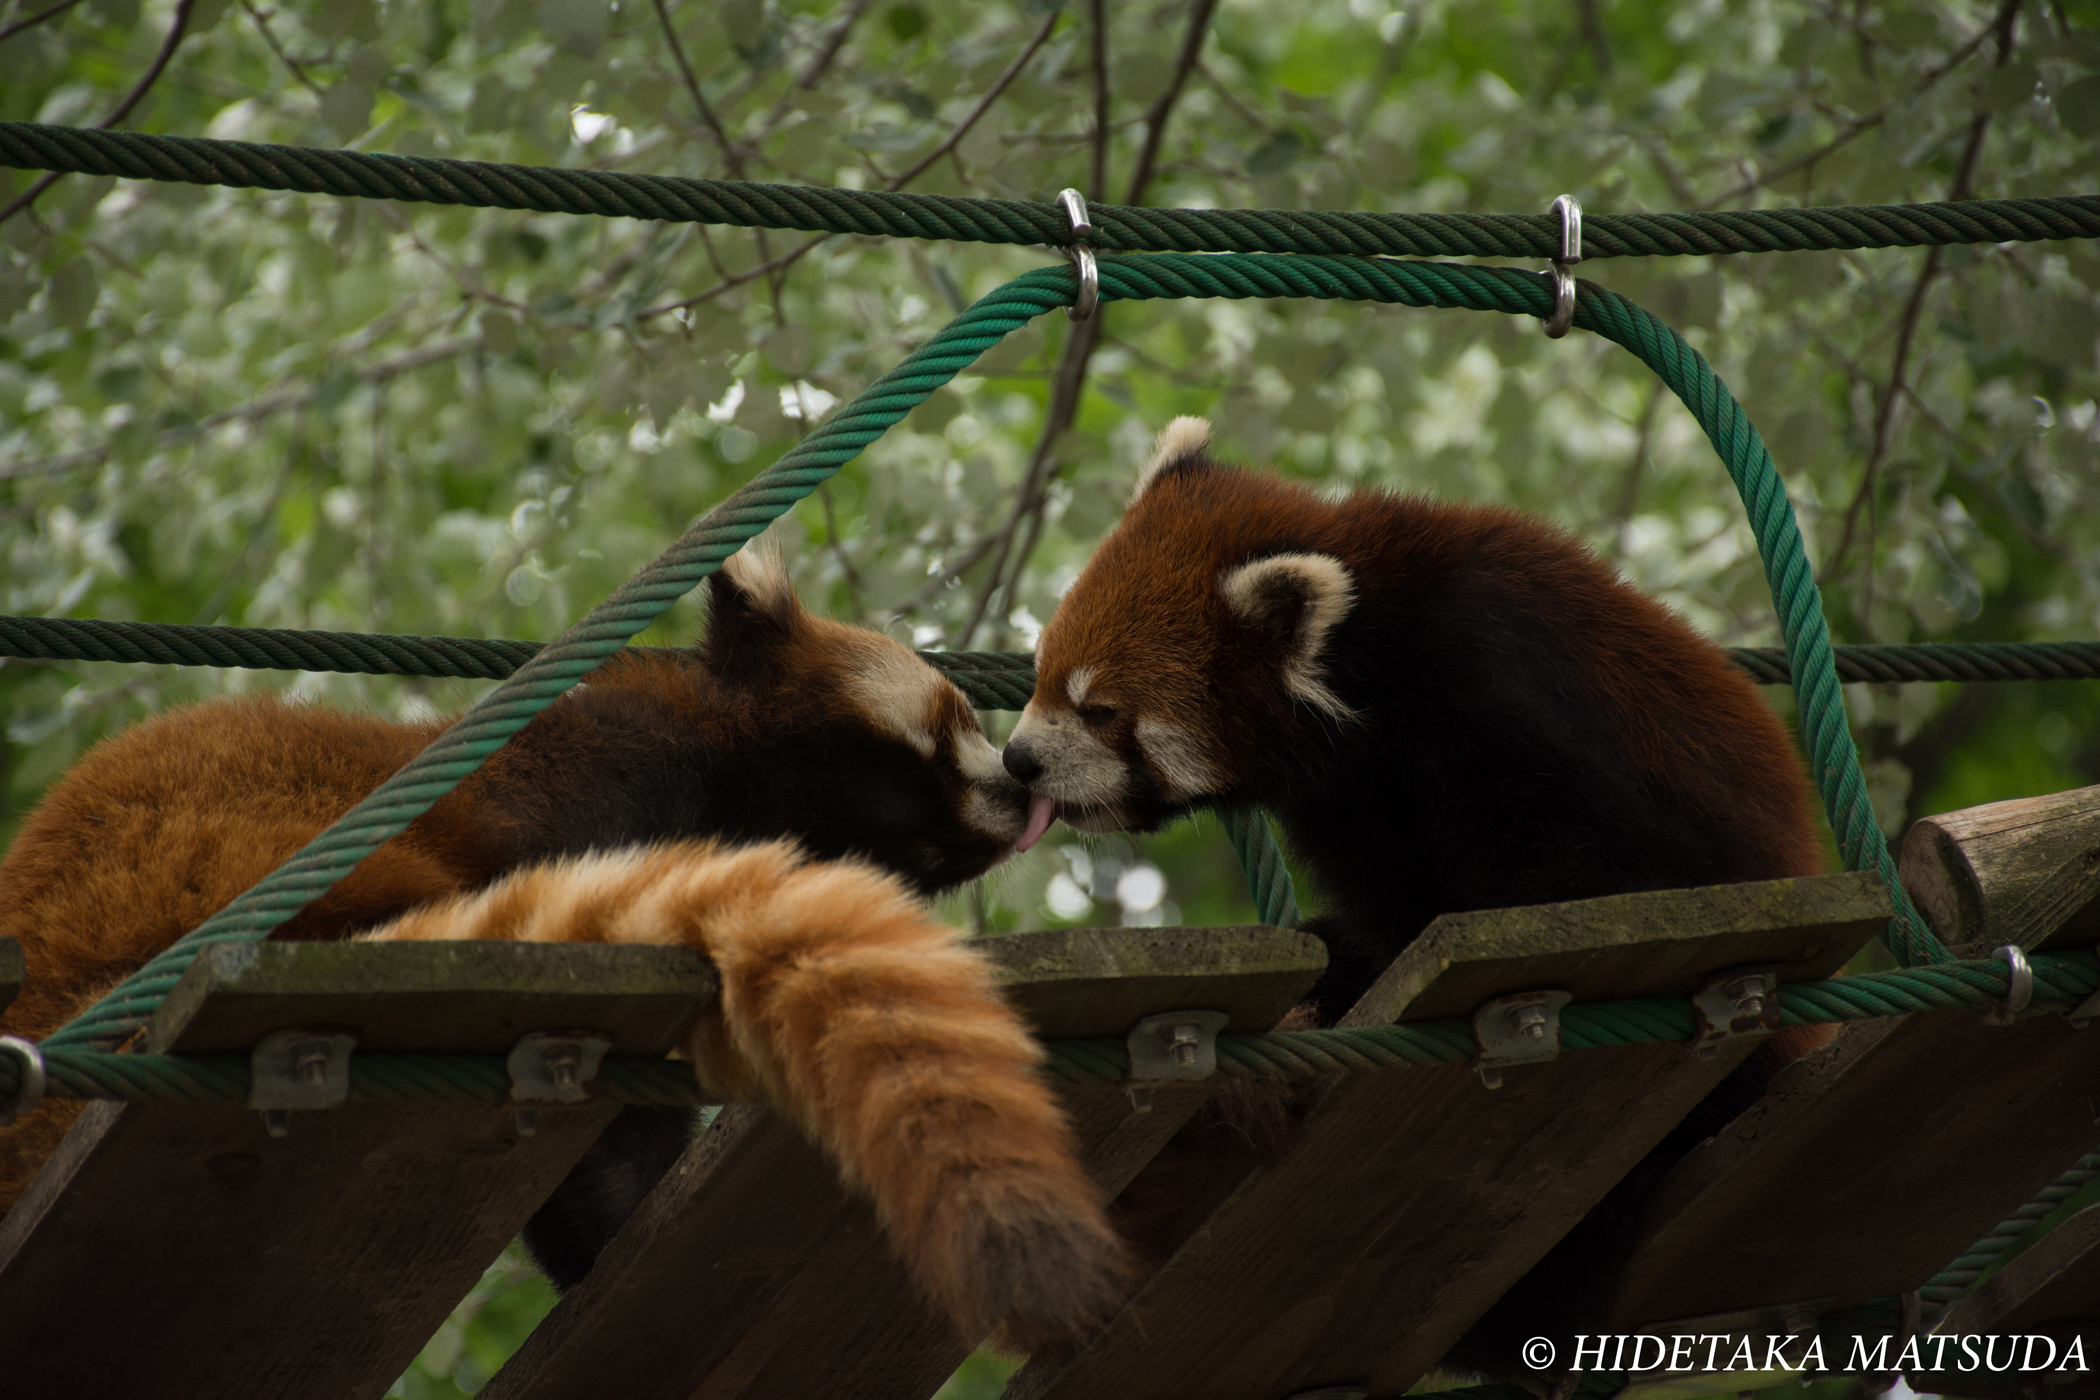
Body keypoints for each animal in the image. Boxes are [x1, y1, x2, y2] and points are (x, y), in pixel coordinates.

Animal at [1003, 419, 1839, 1376]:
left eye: (1100, 710)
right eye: (1043, 674)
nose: (1018, 760)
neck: (1372, 658)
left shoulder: (1496, 680)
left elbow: (1607, 871)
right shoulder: (1362, 806)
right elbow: (1392, 915)